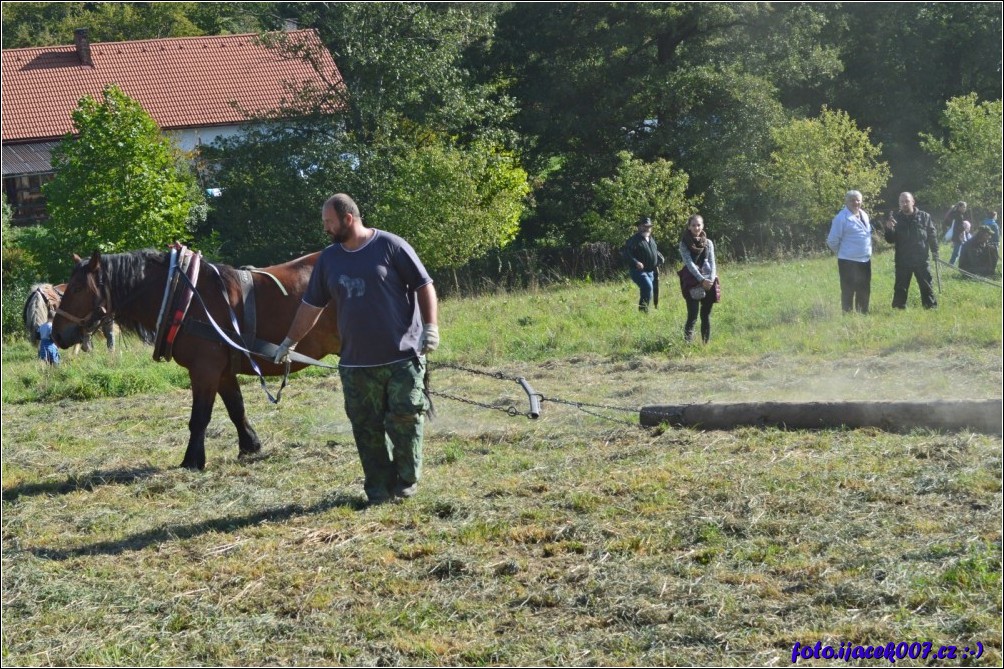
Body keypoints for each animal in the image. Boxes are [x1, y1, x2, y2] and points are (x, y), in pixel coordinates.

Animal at [51, 249, 341, 468]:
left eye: (77, 288)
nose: (56, 333)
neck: (185, 298)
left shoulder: (204, 370)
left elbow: (199, 417)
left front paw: (192, 460)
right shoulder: (223, 373)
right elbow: (236, 409)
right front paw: (250, 446)